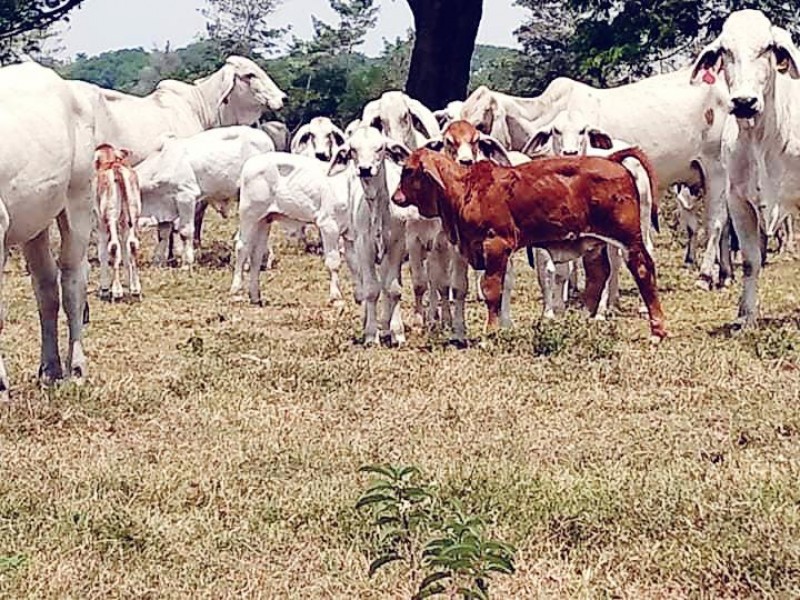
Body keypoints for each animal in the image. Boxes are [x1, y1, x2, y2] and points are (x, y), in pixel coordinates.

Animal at [93, 144, 143, 302]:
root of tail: (116, 168)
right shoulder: (124, 223)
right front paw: (130, 284)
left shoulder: (101, 223)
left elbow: (103, 252)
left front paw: (104, 289)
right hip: (133, 213)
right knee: (132, 245)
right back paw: (136, 289)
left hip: (110, 216)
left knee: (114, 247)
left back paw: (116, 291)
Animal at [136, 126, 276, 268]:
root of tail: (267, 141)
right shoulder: (164, 206)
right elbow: (163, 234)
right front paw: (157, 262)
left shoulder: (186, 196)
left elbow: (185, 232)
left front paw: (186, 263)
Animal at [231, 152, 356, 308]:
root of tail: (251, 162)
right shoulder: (329, 226)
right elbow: (333, 262)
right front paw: (336, 297)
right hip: (249, 214)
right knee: (242, 247)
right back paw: (236, 289)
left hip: (264, 220)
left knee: (257, 254)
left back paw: (255, 296)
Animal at [390, 148, 664, 340]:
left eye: (408, 170)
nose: (395, 197)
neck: (466, 190)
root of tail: (612, 159)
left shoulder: (497, 245)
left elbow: (492, 289)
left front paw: (491, 332)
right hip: (594, 243)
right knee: (598, 276)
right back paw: (584, 321)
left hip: (629, 238)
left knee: (643, 269)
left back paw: (657, 330)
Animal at [688, 9, 800, 326]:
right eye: (726, 51)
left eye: (767, 48)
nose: (744, 102)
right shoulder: (738, 201)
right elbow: (750, 262)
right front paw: (746, 315)